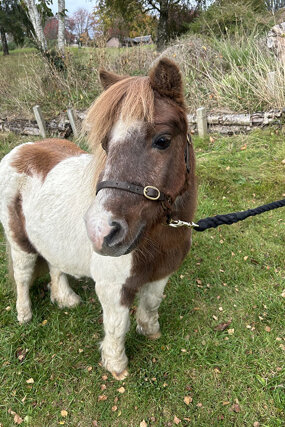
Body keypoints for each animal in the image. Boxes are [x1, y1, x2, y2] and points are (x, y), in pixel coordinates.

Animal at [0, 58, 195, 380]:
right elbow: (117, 325)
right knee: (23, 274)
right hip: (19, 241)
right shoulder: (112, 287)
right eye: (105, 144)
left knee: (54, 263)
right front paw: (117, 366)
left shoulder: (162, 274)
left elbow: (151, 303)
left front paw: (150, 331)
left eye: (163, 140)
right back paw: (24, 314)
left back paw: (64, 298)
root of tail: (19, 150)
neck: (155, 236)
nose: (101, 231)